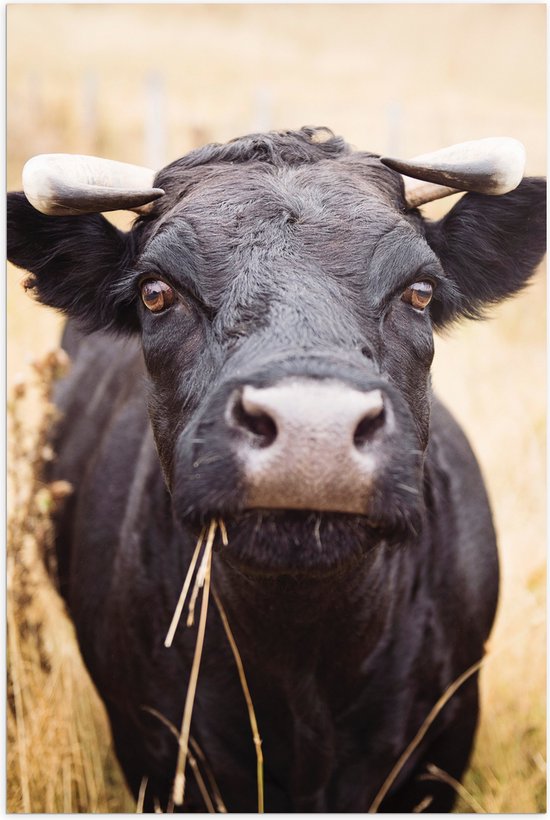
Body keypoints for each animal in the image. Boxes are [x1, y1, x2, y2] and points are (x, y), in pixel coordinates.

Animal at [5, 130, 548, 812]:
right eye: (156, 292)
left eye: (420, 291)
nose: (312, 430)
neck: (301, 657)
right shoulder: (152, 750)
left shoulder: (442, 748)